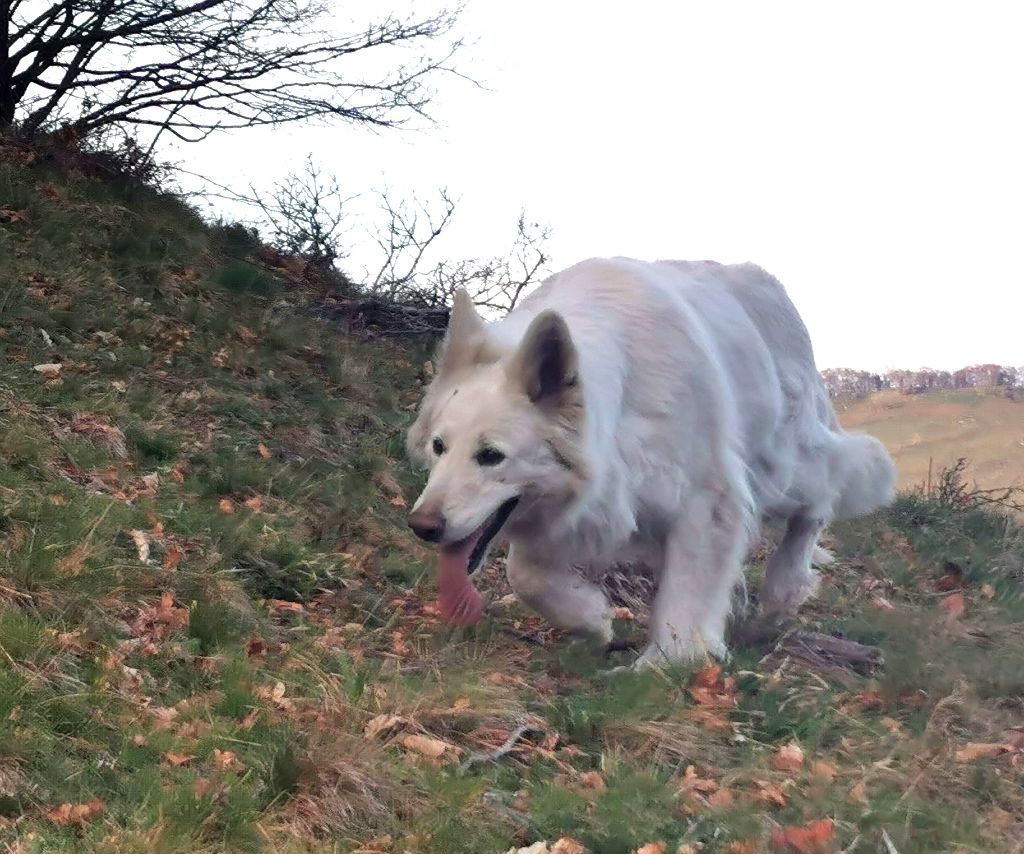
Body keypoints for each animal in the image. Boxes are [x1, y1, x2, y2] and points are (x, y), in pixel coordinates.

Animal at [403, 260, 892, 663]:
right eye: (439, 447)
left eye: (490, 456)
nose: (422, 528)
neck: (623, 405)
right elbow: (525, 575)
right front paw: (592, 617)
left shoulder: (707, 499)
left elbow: (686, 600)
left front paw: (664, 667)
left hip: (785, 462)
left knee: (824, 494)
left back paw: (785, 587)